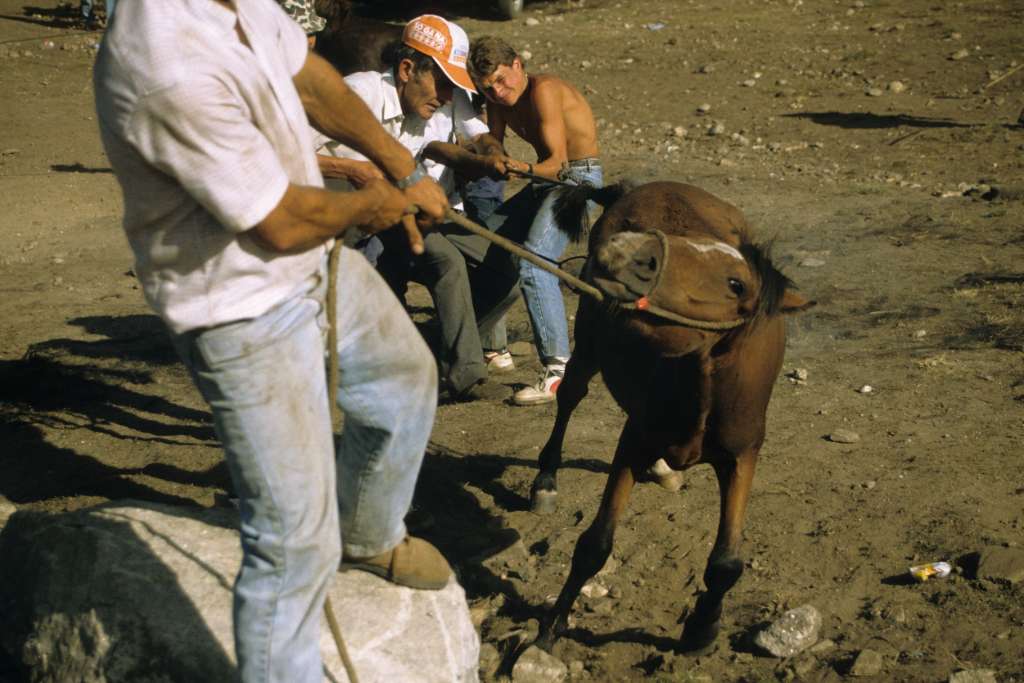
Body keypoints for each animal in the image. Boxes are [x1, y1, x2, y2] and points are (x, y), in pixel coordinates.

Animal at [532, 180, 811, 651]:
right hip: (588, 338)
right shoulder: (634, 440)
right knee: (570, 396)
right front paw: (551, 625)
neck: (705, 388)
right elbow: (595, 545)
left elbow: (726, 563)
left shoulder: (744, 454)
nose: (622, 251)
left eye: (736, 283)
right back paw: (546, 477)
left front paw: (702, 627)